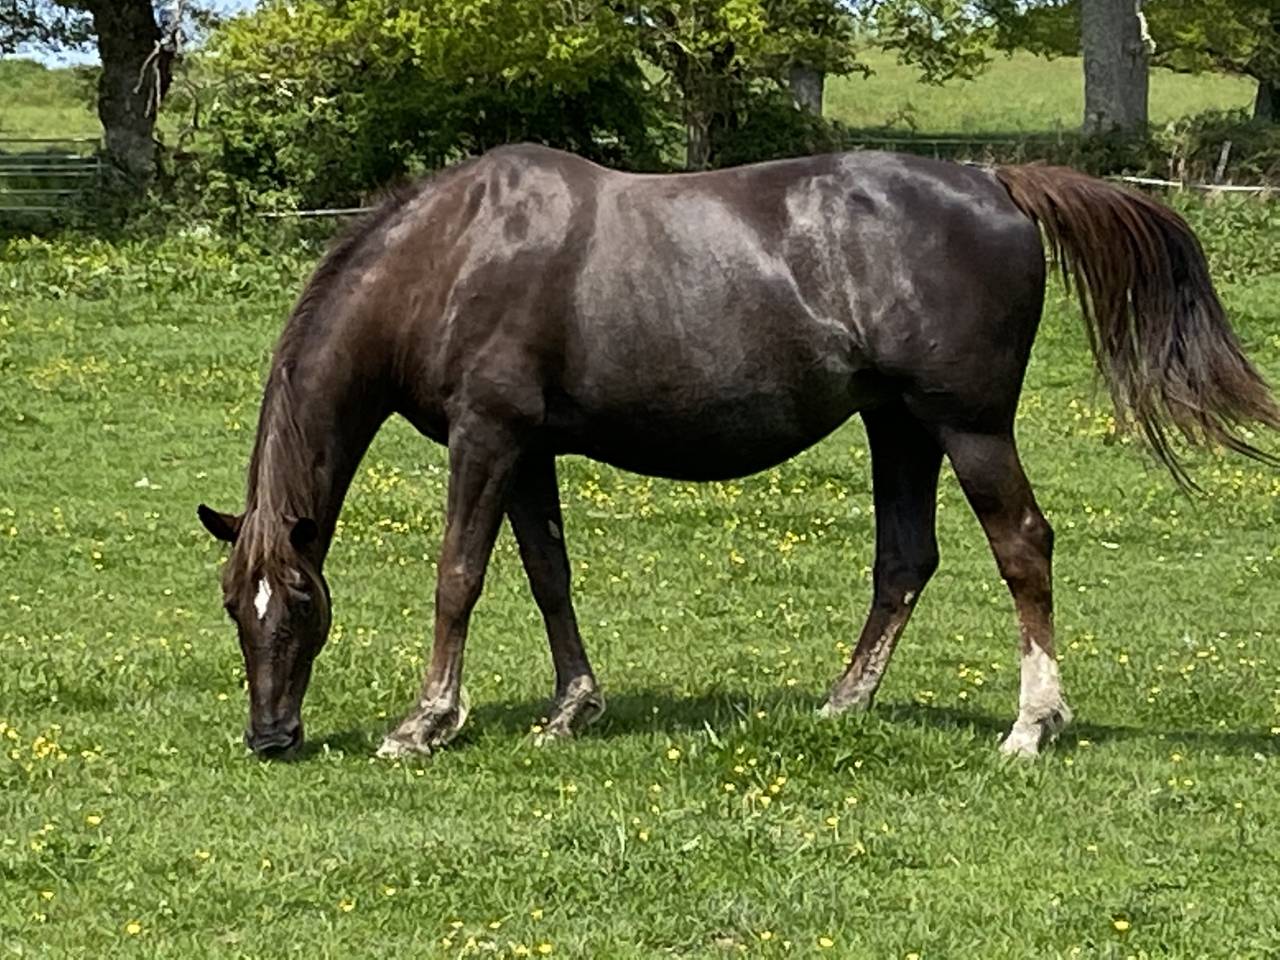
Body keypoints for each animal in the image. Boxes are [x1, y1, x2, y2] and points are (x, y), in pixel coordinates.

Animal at [197, 143, 1279, 760]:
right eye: (235, 608)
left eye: (302, 607)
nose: (269, 737)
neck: (453, 254)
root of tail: (994, 181)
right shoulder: (530, 449)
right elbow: (548, 575)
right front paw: (572, 709)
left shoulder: (488, 437)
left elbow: (459, 576)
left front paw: (425, 724)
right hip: (896, 426)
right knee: (904, 560)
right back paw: (843, 703)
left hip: (965, 426)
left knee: (1022, 546)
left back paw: (1031, 725)